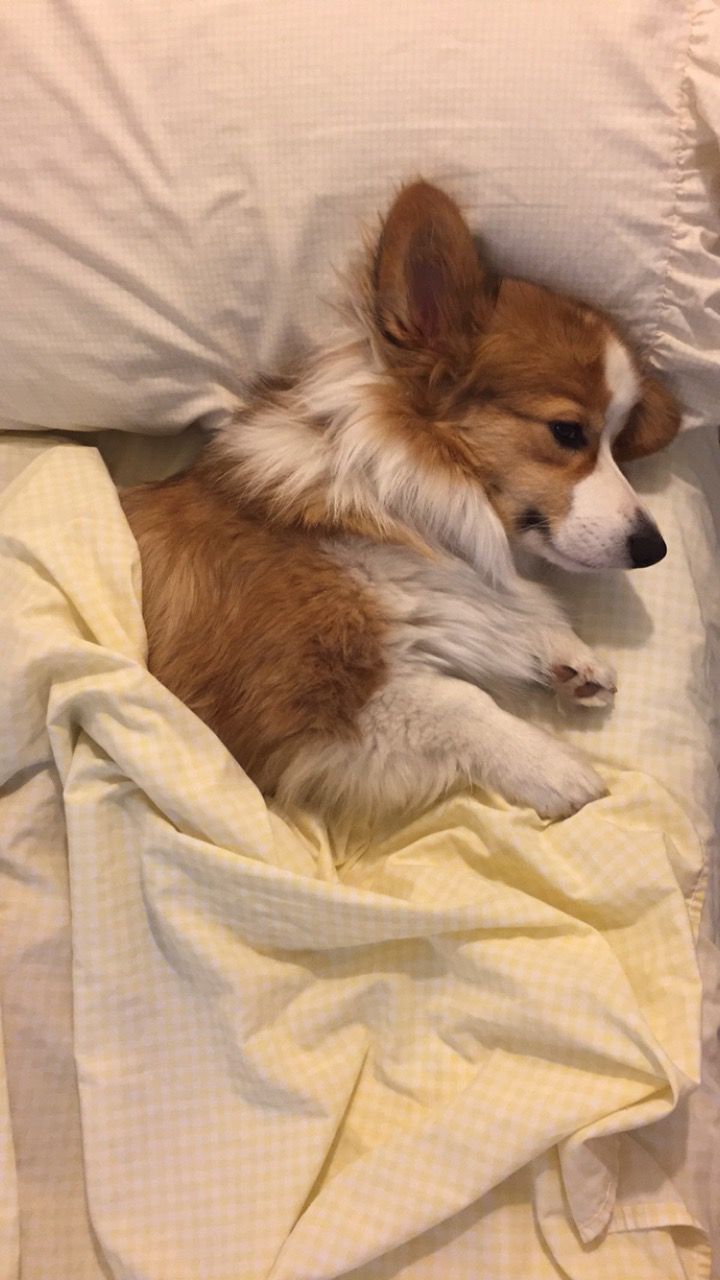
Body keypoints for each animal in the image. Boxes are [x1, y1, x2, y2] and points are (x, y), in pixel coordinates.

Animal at [121, 177, 676, 819]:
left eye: (616, 440)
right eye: (567, 432)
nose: (654, 550)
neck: (405, 504)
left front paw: (568, 655)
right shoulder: (301, 694)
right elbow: (459, 700)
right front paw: (555, 768)